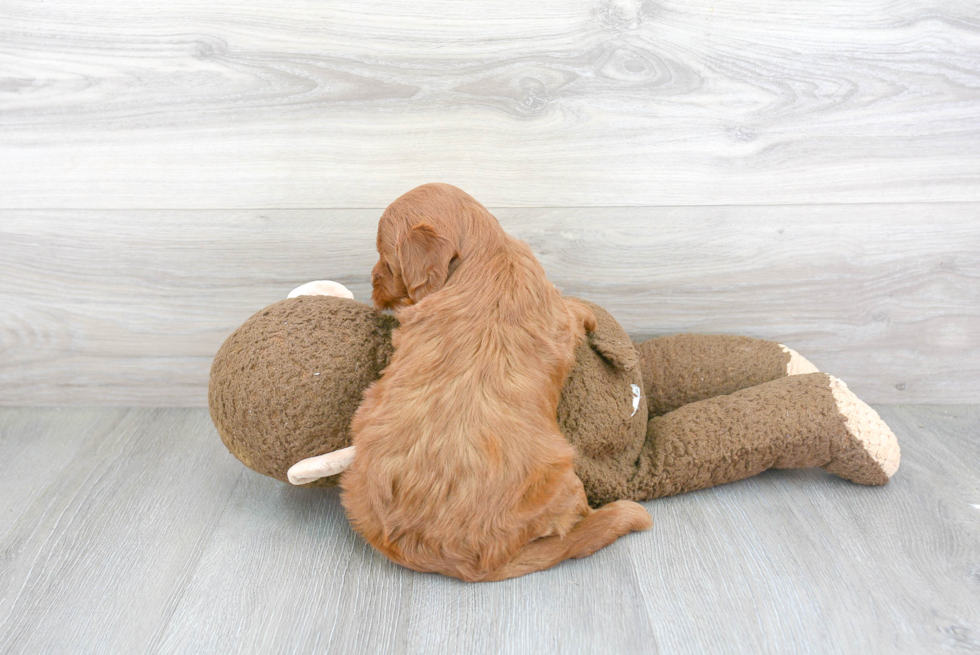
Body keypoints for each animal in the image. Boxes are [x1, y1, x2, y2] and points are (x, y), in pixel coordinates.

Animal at [340, 182, 656, 580]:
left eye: (385, 257)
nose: (372, 282)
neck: (486, 254)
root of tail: (472, 565)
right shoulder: (558, 313)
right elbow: (574, 308)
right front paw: (591, 318)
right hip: (562, 478)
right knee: (574, 528)